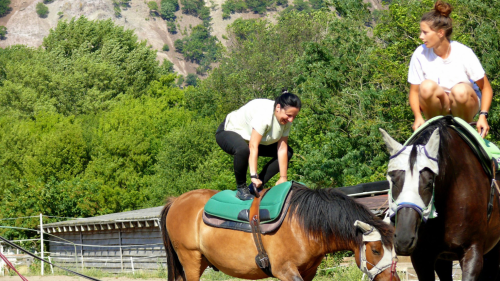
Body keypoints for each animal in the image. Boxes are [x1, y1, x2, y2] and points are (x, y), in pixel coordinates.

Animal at [162, 184, 400, 280]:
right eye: (376, 250)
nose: (393, 280)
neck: (302, 225)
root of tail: (176, 201)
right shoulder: (285, 271)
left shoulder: (308, 272)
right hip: (190, 259)